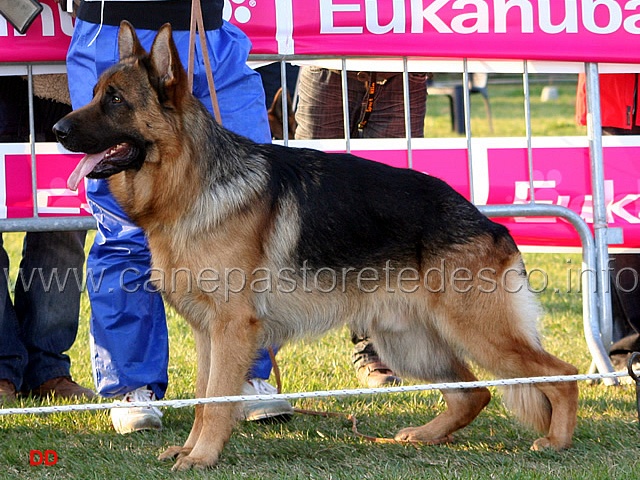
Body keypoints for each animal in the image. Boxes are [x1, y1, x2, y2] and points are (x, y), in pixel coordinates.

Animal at [52, 21, 576, 468]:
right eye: (94, 94)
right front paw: (190, 449)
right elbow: (204, 399)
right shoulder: (206, 334)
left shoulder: (231, 330)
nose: (57, 130)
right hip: (409, 342)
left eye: (115, 100)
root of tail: (487, 221)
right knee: (474, 392)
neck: (192, 182)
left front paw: (201, 457)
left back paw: (556, 441)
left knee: (561, 375)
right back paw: (425, 435)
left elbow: (218, 401)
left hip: (479, 333)